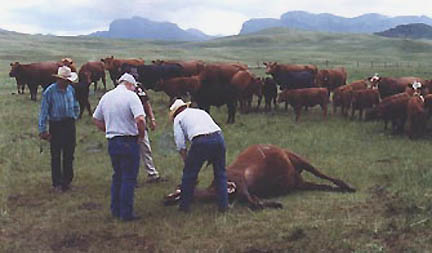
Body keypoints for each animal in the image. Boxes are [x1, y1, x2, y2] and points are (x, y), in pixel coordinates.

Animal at [164, 144, 356, 210]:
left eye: (178, 190)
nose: (165, 199)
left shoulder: (240, 181)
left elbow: (253, 202)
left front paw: (274, 204)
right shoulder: (247, 191)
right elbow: (254, 202)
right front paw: (273, 204)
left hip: (300, 160)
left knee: (323, 175)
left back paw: (348, 187)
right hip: (299, 183)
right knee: (320, 185)